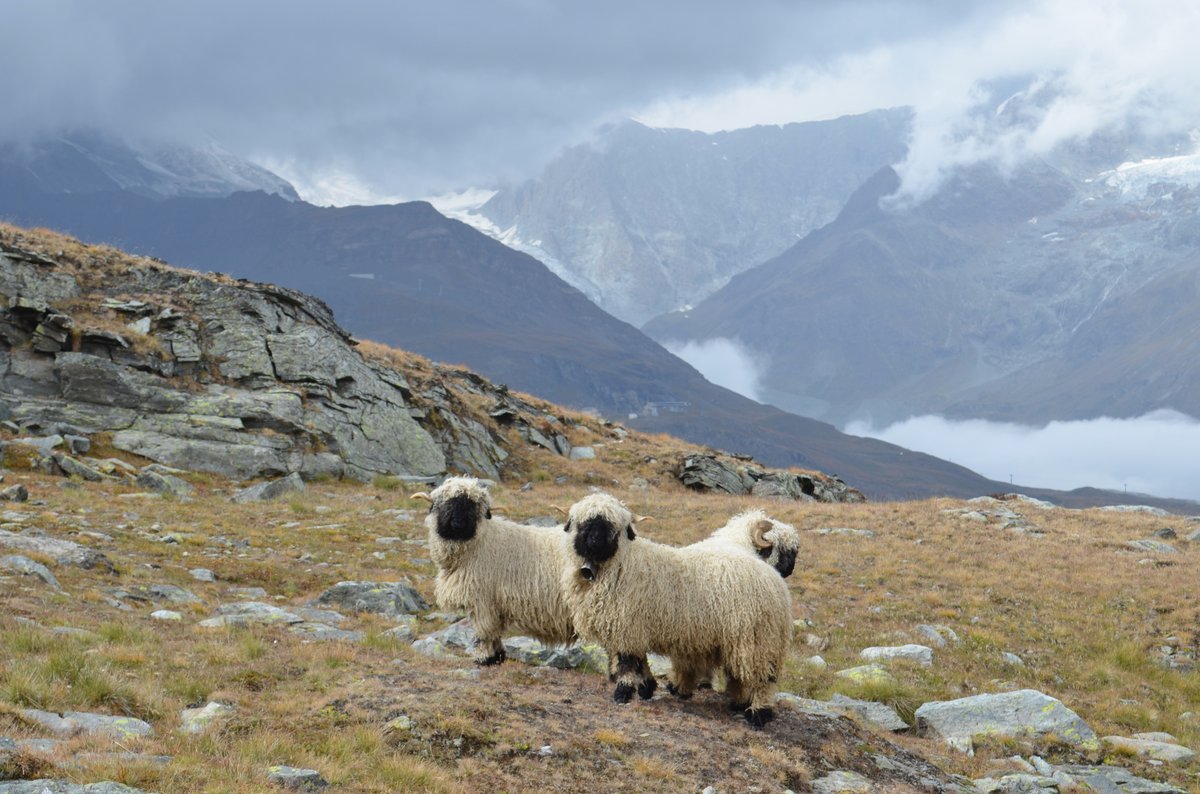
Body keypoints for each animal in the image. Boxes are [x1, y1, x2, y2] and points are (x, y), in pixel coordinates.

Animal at [414, 476, 575, 666]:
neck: (481, 542)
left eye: (473, 506)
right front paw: (497, 656)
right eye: (445, 502)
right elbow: (495, 632)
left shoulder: (483, 600)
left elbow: (484, 631)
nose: (458, 523)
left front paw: (484, 658)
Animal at [560, 492, 792, 728]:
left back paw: (758, 714)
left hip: (758, 640)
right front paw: (646, 687)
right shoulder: (630, 628)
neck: (622, 563)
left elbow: (627, 663)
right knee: (737, 673)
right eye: (583, 523)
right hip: (738, 640)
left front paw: (623, 693)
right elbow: (638, 661)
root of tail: (774, 578)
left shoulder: (628, 626)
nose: (595, 542)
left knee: (764, 679)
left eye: (613, 526)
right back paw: (736, 703)